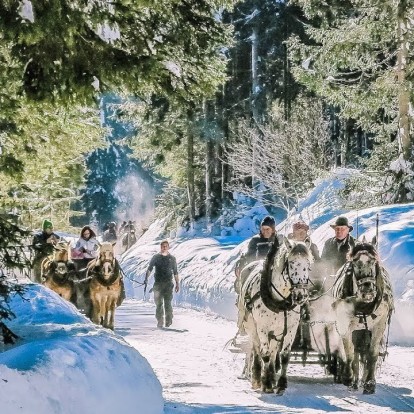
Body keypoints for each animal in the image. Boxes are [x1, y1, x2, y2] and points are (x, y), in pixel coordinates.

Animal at [239, 238, 314, 392]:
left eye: (308, 265)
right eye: (291, 263)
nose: (301, 295)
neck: (280, 301)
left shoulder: (290, 329)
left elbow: (283, 355)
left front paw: (281, 384)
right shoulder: (262, 328)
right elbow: (265, 354)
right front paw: (266, 384)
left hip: (277, 332)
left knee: (273, 351)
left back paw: (272, 375)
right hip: (251, 326)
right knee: (257, 349)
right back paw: (257, 376)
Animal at [332, 243, 392, 394]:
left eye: (373, 261)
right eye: (355, 262)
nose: (367, 291)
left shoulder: (379, 325)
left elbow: (372, 353)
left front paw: (370, 383)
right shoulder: (345, 325)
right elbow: (349, 352)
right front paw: (348, 377)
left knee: (363, 351)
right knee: (356, 352)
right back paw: (353, 380)